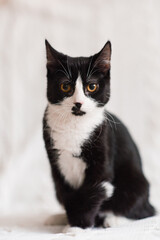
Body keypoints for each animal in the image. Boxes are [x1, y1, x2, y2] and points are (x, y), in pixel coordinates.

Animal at [42, 39, 155, 229]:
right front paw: (72, 222)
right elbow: (67, 195)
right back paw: (59, 217)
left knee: (145, 211)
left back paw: (114, 219)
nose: (78, 103)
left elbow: (93, 191)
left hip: (136, 183)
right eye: (65, 86)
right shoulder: (57, 164)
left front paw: (78, 228)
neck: (74, 125)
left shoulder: (104, 147)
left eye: (92, 86)